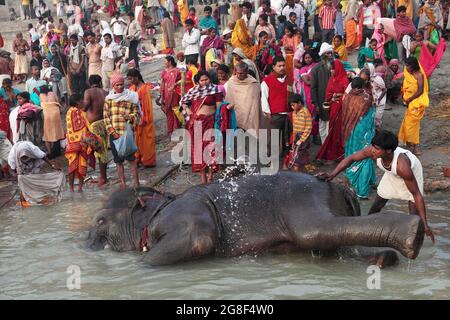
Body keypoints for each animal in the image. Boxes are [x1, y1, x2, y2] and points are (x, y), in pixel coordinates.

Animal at [84, 172, 426, 268]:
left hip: (301, 201)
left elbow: (200, 239)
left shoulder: (181, 215)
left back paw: (413, 234)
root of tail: (334, 184)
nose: (86, 242)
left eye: (100, 221)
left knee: (315, 231)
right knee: (333, 246)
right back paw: (384, 259)